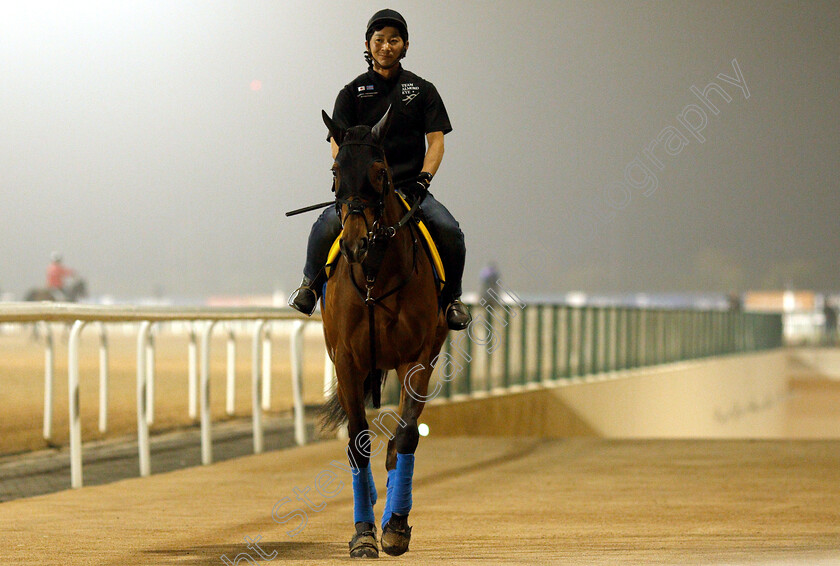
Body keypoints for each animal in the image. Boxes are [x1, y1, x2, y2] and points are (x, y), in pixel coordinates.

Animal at [320, 107, 450, 560]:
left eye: (380, 171)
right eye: (335, 170)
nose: (356, 244)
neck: (376, 276)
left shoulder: (417, 358)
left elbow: (406, 435)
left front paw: (394, 527)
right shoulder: (346, 361)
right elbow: (357, 441)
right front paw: (363, 533)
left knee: (399, 440)